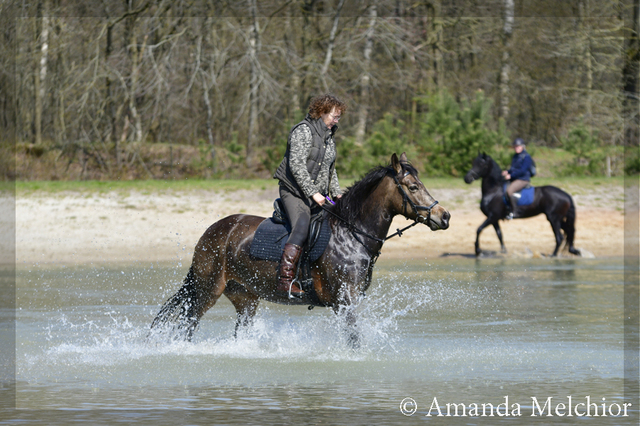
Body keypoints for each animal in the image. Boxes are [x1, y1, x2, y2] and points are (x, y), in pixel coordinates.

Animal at [149, 153, 450, 346]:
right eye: (413, 186)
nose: (444, 216)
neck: (351, 234)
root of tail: (213, 230)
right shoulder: (346, 301)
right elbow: (354, 340)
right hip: (207, 290)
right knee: (188, 324)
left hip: (245, 298)